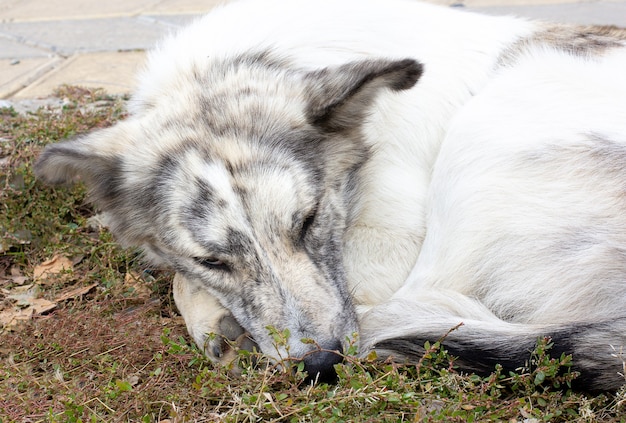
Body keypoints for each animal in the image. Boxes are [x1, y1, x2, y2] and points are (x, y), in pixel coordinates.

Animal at [35, 0, 624, 390]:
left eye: (309, 220)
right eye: (213, 260)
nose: (319, 366)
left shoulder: (390, 244)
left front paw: (214, 321)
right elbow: (180, 275)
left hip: (484, 132)